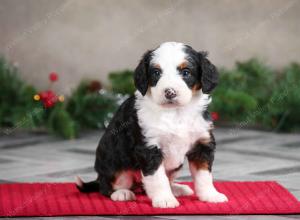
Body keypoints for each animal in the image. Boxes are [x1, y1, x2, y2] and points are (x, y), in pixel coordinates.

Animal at [76, 41, 229, 208]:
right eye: (156, 72)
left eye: (186, 72)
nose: (170, 92)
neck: (175, 113)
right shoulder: (149, 148)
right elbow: (158, 178)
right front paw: (165, 199)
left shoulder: (202, 144)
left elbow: (204, 175)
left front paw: (211, 195)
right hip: (114, 164)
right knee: (107, 185)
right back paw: (121, 193)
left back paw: (177, 188)